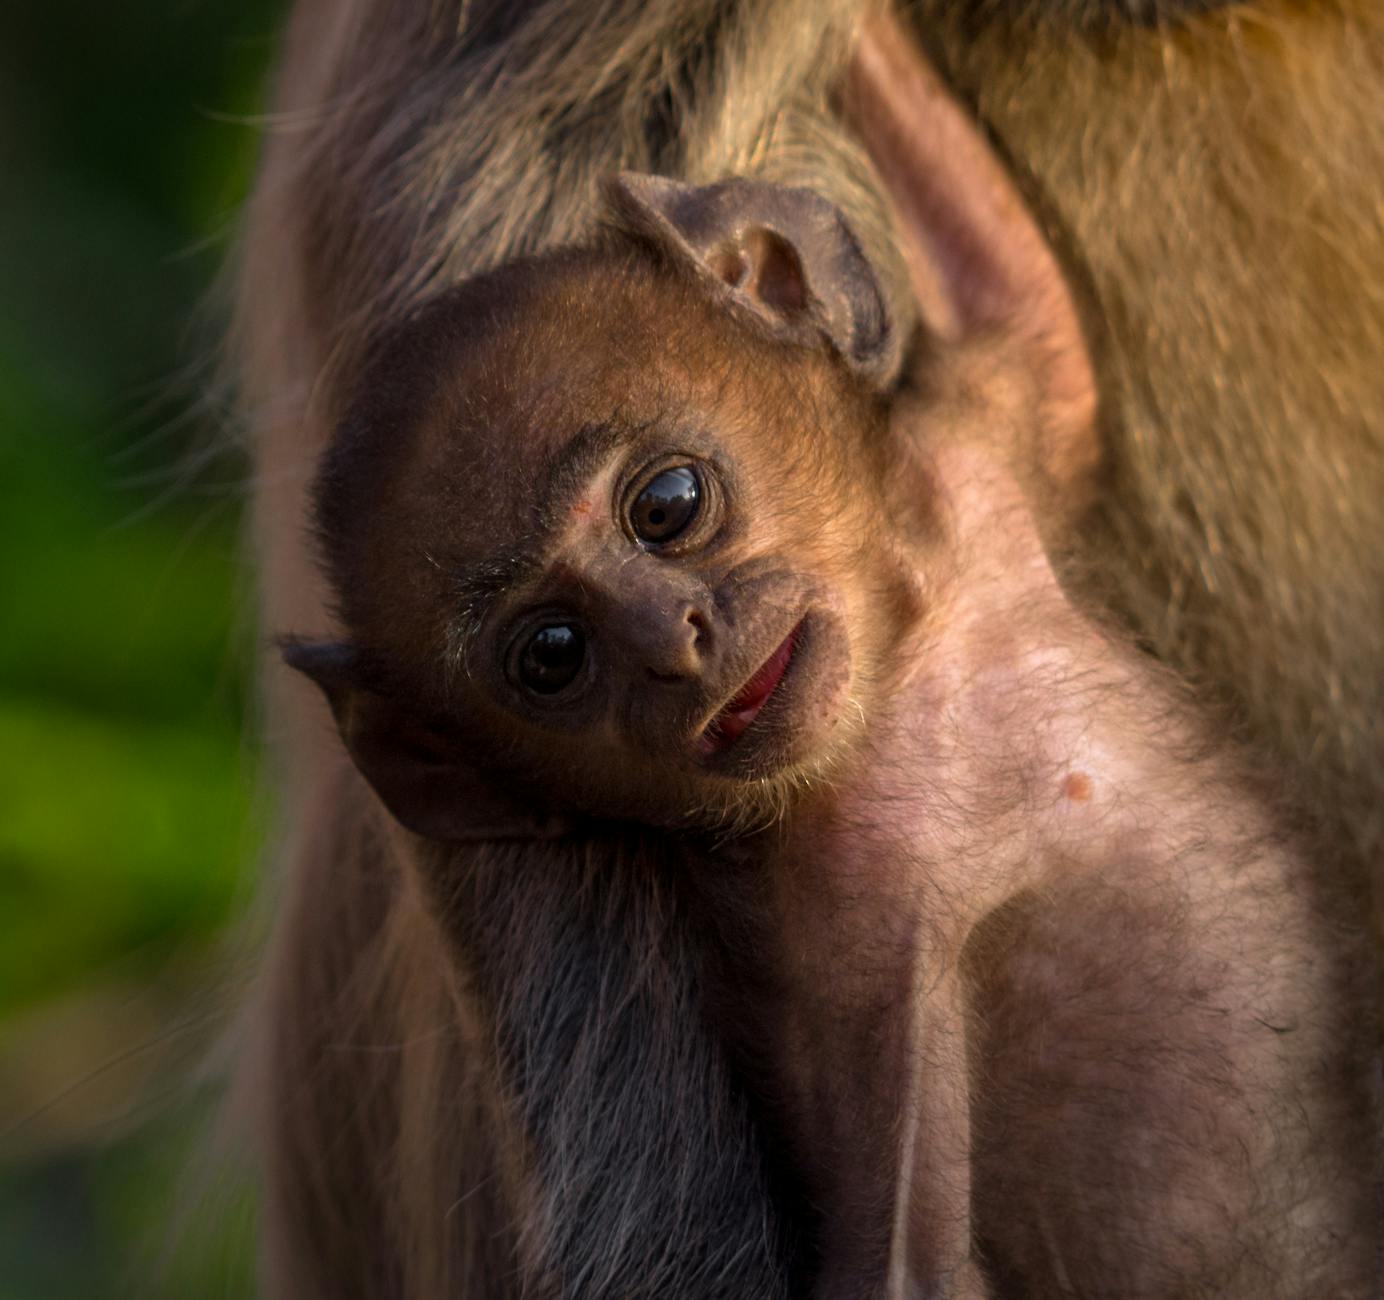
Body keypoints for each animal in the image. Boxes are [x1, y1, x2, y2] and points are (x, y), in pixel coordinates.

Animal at [231, 0, 1384, 1294]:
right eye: (553, 655)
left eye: (668, 504)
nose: (677, 646)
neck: (906, 681)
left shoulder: (973, 446)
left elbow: (1033, 328)